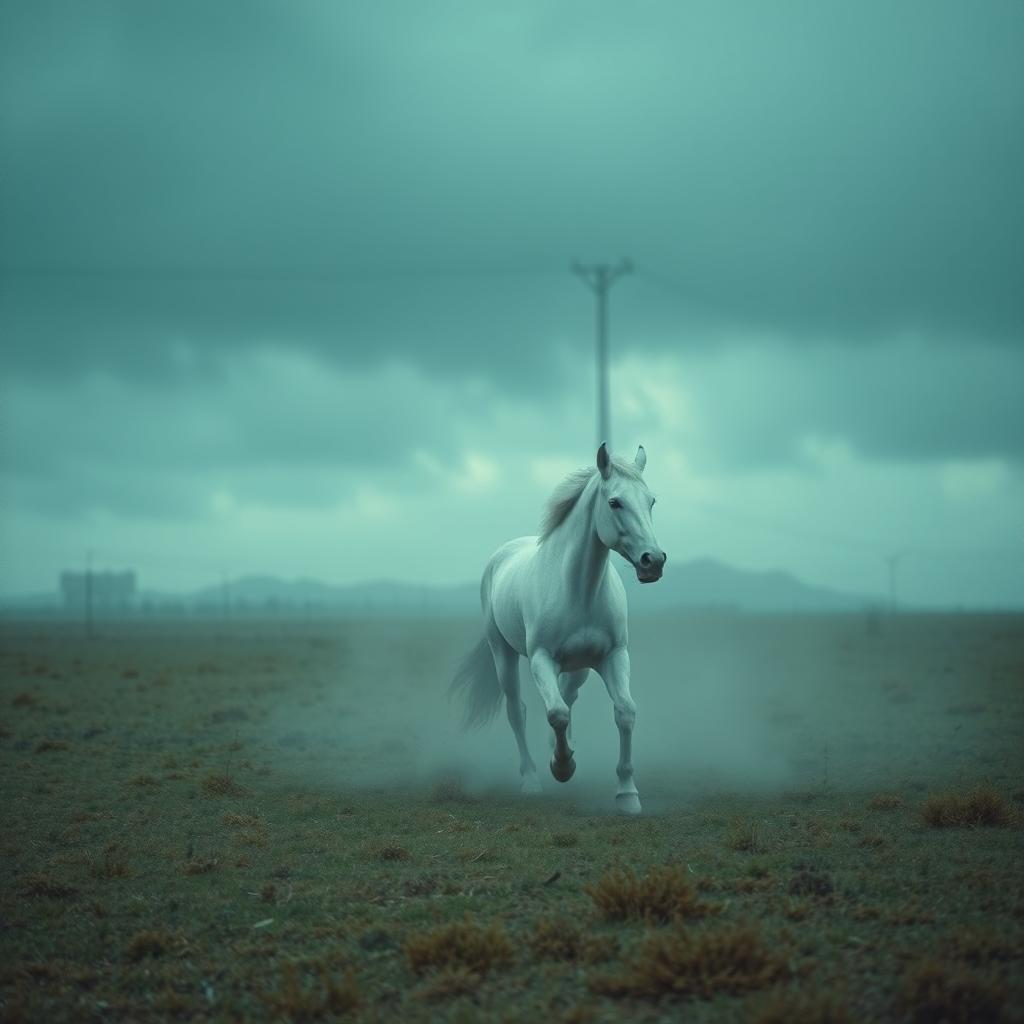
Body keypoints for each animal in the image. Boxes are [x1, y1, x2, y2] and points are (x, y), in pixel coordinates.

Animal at [451, 443, 666, 814]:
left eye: (650, 501)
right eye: (615, 502)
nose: (653, 561)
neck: (579, 589)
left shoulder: (614, 656)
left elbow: (624, 712)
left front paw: (627, 794)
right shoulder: (541, 659)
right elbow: (556, 713)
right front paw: (562, 767)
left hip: (580, 667)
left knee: (568, 694)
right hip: (503, 654)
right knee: (518, 711)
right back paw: (532, 779)